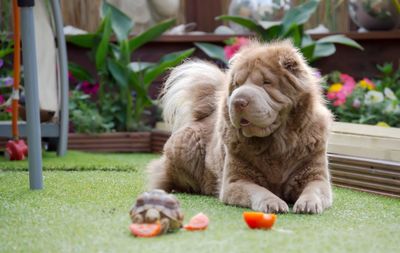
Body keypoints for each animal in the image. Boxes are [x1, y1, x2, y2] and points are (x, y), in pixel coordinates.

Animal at [148, 41, 332, 213]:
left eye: (266, 82)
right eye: (237, 84)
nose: (238, 101)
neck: (276, 144)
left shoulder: (316, 175)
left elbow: (314, 189)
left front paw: (308, 203)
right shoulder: (235, 181)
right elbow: (258, 190)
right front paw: (272, 202)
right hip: (186, 149)